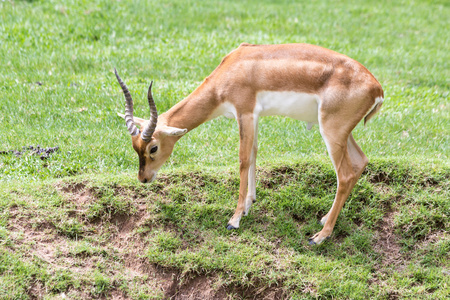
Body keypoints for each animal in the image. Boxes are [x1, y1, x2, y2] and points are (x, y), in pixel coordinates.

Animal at [116, 43, 384, 245]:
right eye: (135, 147)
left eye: (153, 148)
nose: (143, 178)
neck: (232, 69)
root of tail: (377, 88)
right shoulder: (253, 117)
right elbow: (254, 153)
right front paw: (248, 205)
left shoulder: (244, 113)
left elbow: (243, 160)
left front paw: (234, 220)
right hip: (342, 133)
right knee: (360, 162)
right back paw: (323, 220)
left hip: (331, 132)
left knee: (345, 174)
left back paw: (319, 237)